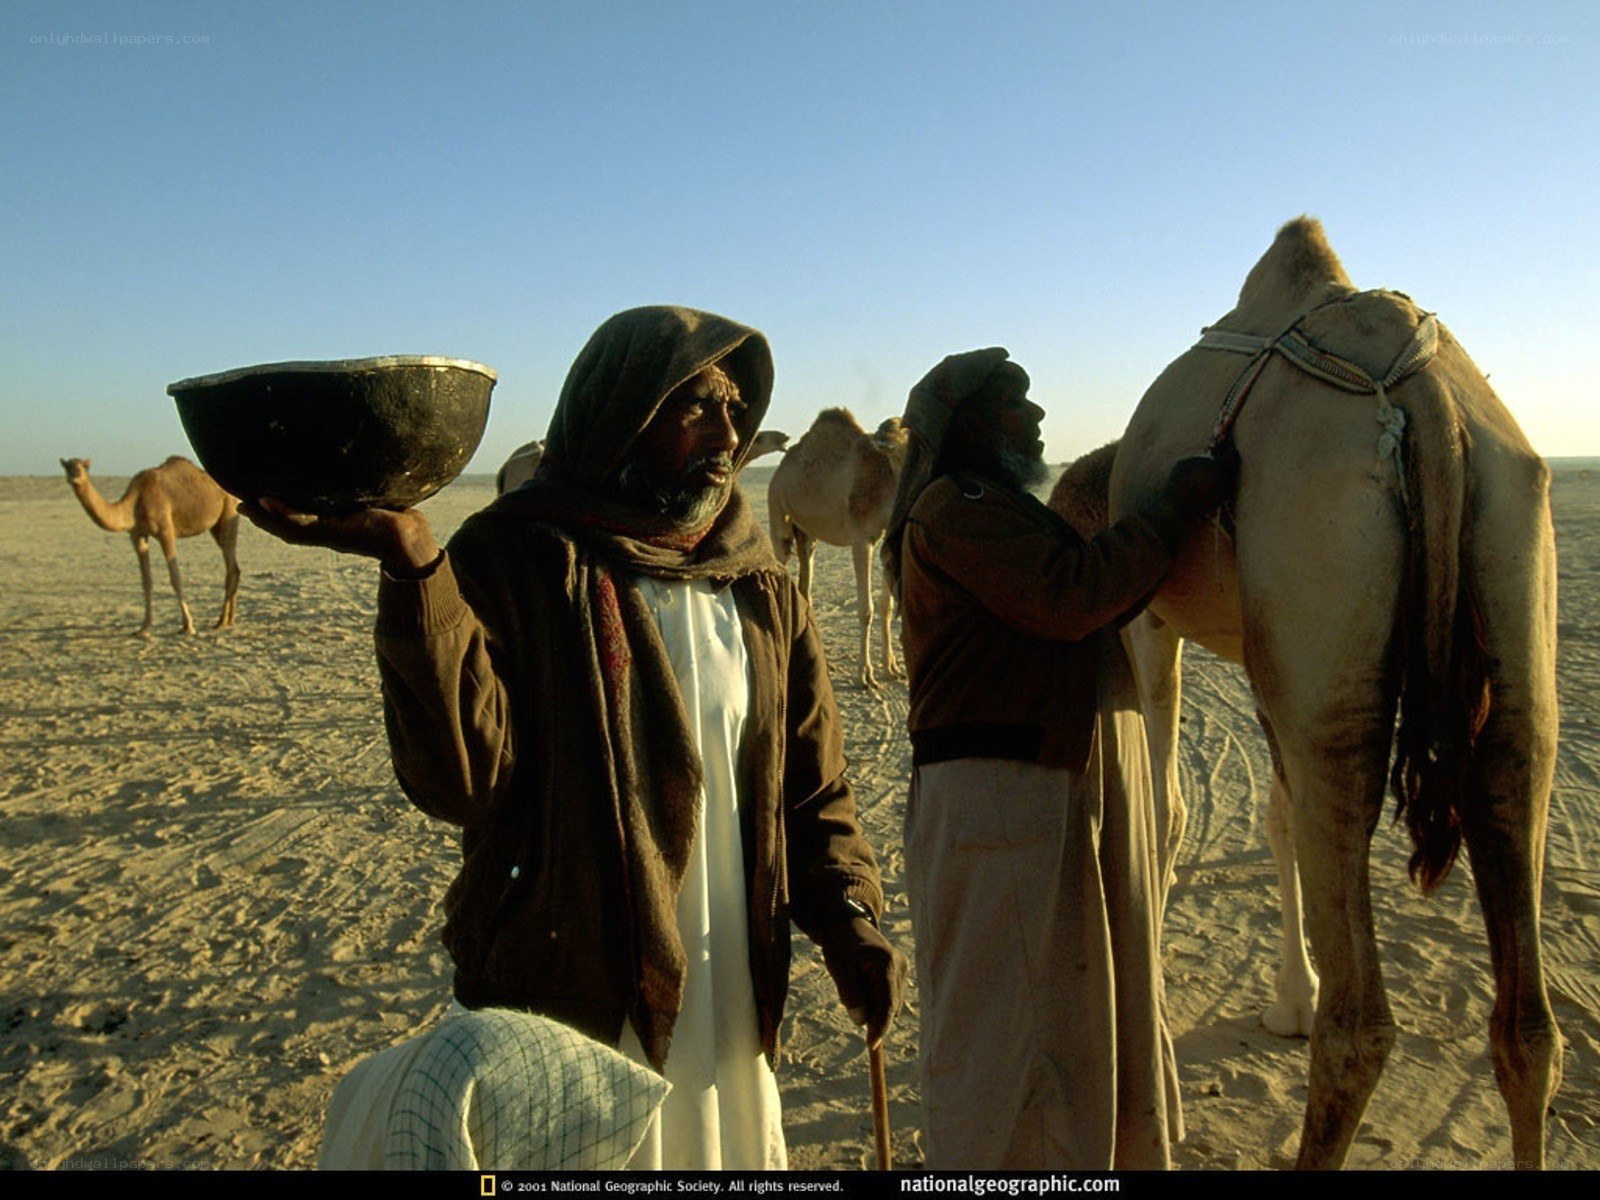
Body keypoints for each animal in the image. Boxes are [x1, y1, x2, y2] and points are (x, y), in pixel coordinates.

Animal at [60, 455, 242, 635]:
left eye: (84, 466)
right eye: (67, 466)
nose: (74, 475)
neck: (135, 502)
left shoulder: (166, 530)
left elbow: (175, 577)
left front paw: (188, 626)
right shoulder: (137, 535)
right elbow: (146, 580)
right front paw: (144, 628)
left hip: (229, 511)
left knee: (230, 567)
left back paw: (221, 622)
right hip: (215, 526)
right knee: (235, 567)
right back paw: (230, 620)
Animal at [767, 409, 910, 686]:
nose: (884, 430)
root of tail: (781, 467)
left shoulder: (885, 535)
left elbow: (886, 607)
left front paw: (892, 668)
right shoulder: (861, 537)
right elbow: (866, 609)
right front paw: (865, 674)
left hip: (807, 535)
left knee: (805, 585)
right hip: (777, 506)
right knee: (781, 551)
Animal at [1048, 216, 1560, 1169]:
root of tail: (1430, 405)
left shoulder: (1152, 620)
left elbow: (1165, 813)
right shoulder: (1265, 655)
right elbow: (1275, 814)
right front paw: (1289, 995)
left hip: (1328, 616)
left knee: (1362, 1027)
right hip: (1506, 585)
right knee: (1527, 1019)